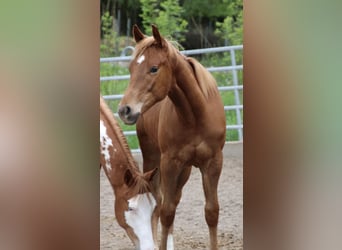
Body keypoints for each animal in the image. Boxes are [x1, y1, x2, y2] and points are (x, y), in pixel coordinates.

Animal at [118, 25, 227, 250]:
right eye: (131, 68)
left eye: (154, 68)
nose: (125, 110)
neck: (195, 116)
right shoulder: (169, 163)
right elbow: (166, 211)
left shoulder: (213, 162)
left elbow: (211, 211)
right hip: (153, 159)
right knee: (158, 203)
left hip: (184, 170)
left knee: (174, 200)